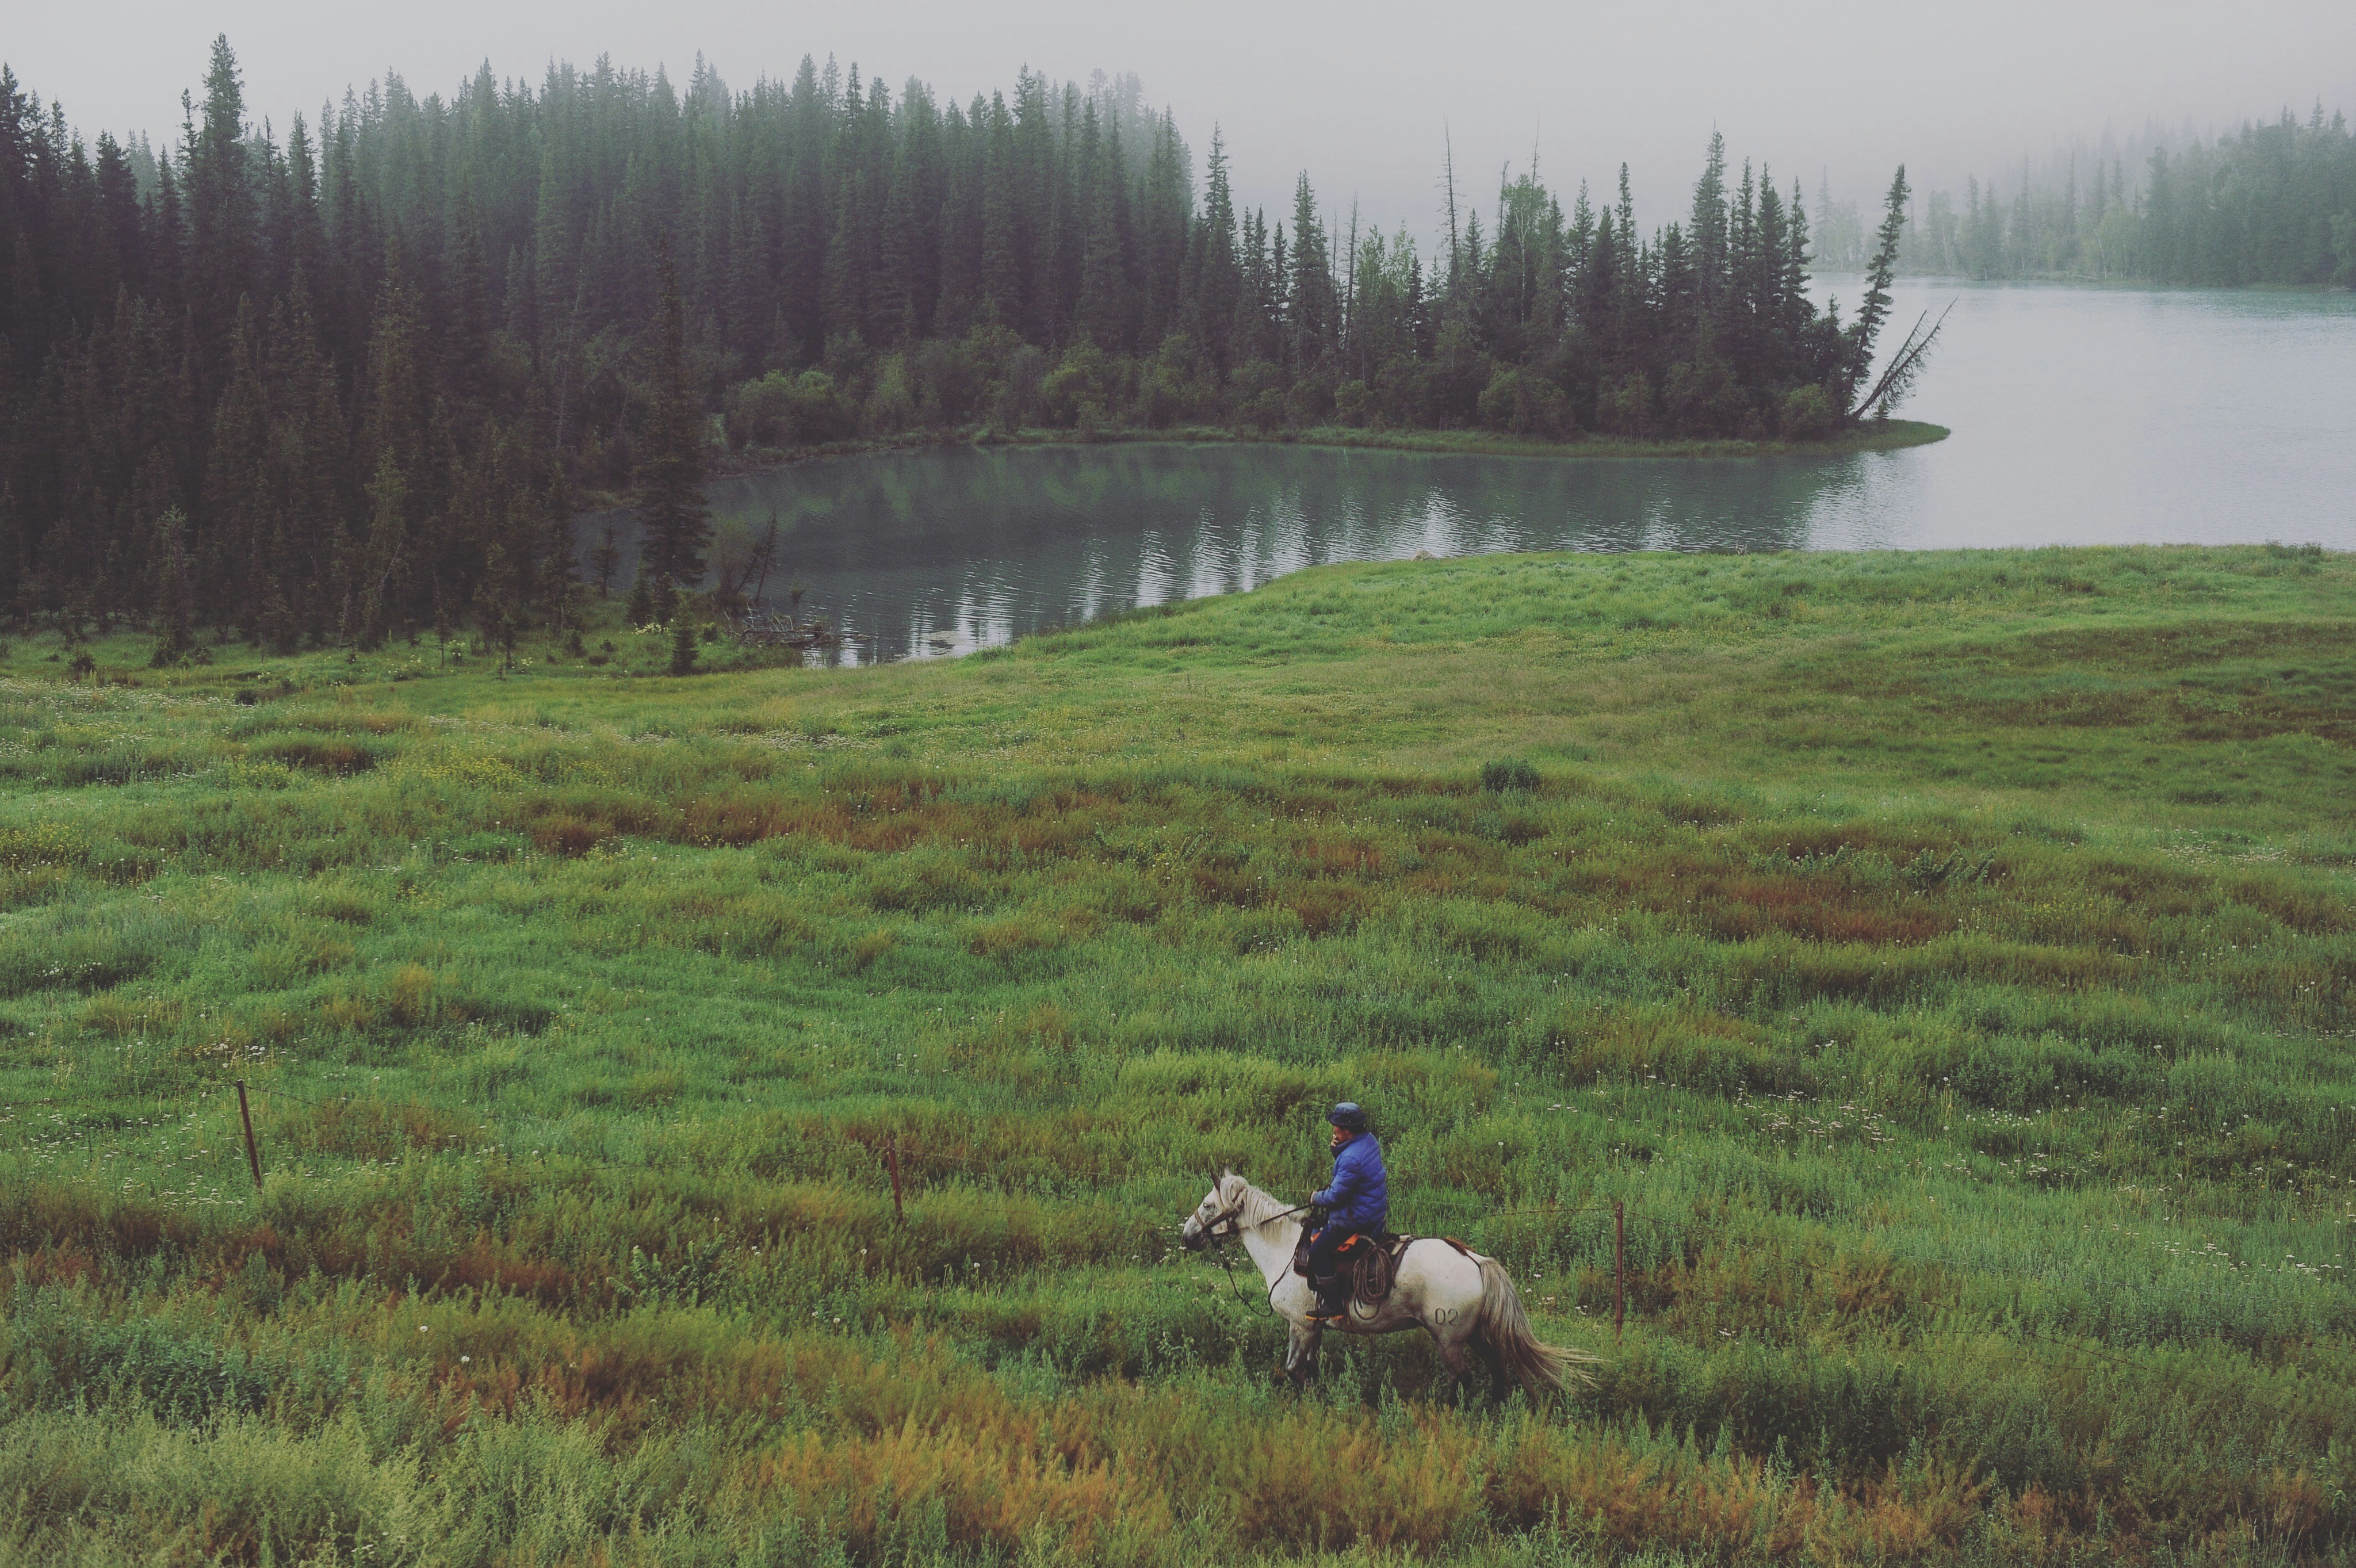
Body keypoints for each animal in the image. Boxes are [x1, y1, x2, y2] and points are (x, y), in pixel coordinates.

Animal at [1168, 1168, 1592, 1384]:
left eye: (1209, 1205)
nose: (1187, 1236)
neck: (1287, 1251)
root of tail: (1474, 1259)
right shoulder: (1311, 1327)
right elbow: (1307, 1369)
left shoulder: (1301, 1326)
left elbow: (1293, 1371)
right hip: (1475, 1335)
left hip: (1450, 1339)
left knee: (1462, 1380)